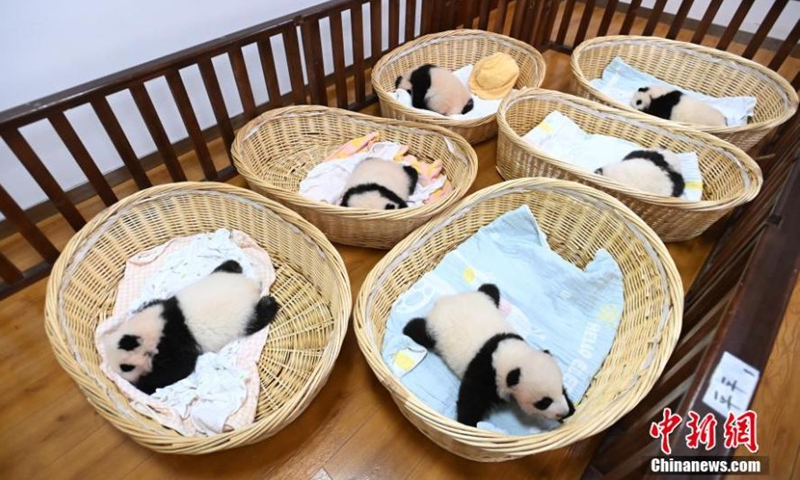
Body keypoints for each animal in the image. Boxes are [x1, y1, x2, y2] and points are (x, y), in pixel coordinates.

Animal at [103, 259, 279, 394]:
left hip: (244, 317)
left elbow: (177, 369)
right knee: (228, 267)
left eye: (126, 368)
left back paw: (268, 303)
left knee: (257, 319)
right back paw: (233, 265)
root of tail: (253, 286)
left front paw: (144, 385)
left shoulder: (175, 342)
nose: (130, 380)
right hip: (219, 276)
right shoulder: (161, 308)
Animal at [403, 284, 575, 427]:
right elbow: (471, 397)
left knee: (491, 289)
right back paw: (409, 328)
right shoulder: (486, 371)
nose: (563, 412)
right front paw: (468, 423)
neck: (514, 354)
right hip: (435, 331)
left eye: (562, 390)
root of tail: (445, 300)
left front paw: (572, 408)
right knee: (421, 331)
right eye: (544, 402)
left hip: (484, 298)